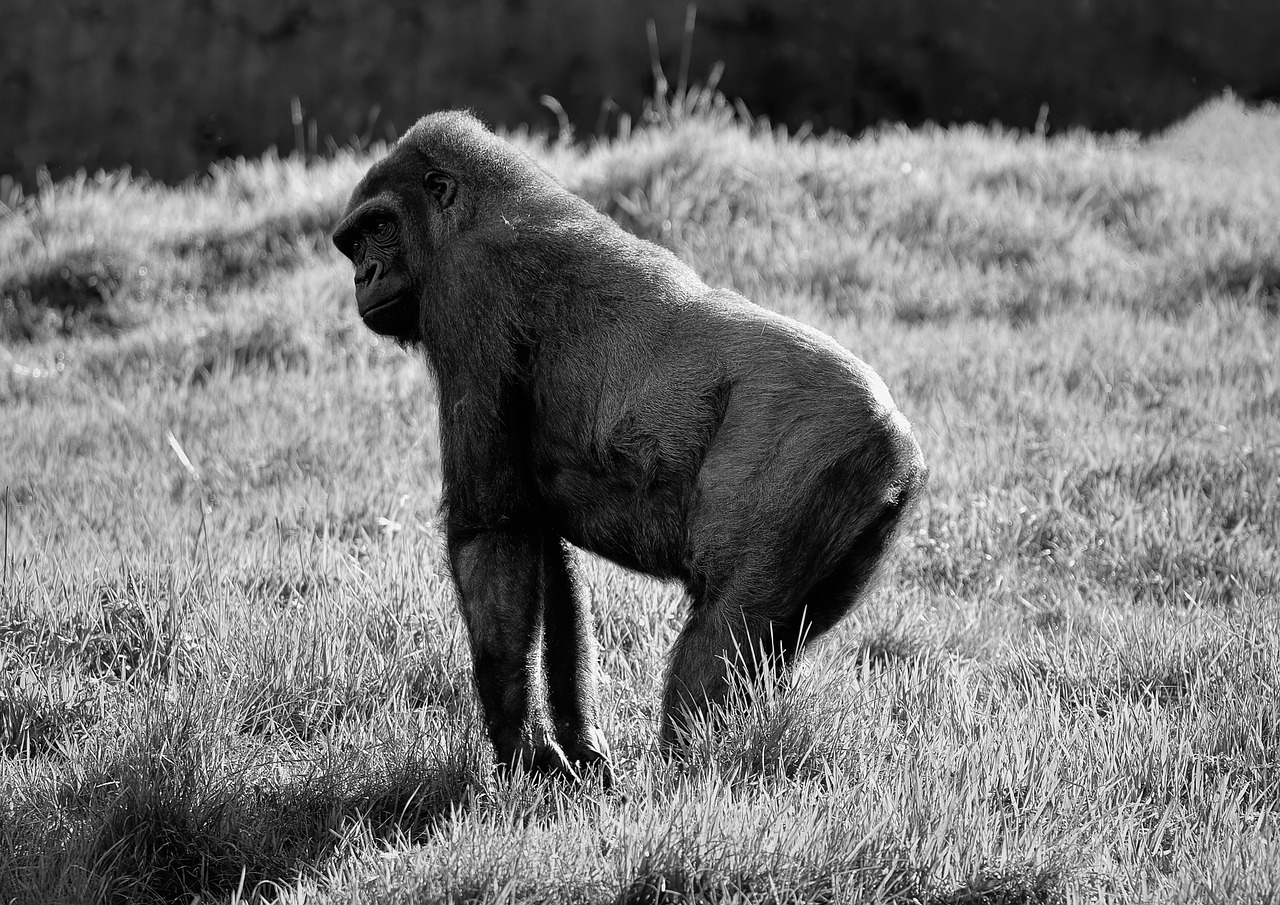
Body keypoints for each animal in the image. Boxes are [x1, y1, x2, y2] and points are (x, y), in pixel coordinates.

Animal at [333, 110, 926, 782]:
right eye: (354, 243)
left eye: (381, 229)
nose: (363, 276)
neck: (477, 207)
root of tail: (899, 443)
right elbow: (542, 558)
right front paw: (577, 748)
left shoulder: (466, 290)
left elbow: (492, 530)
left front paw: (524, 749)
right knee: (772, 639)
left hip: (816, 452)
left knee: (724, 630)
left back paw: (682, 775)